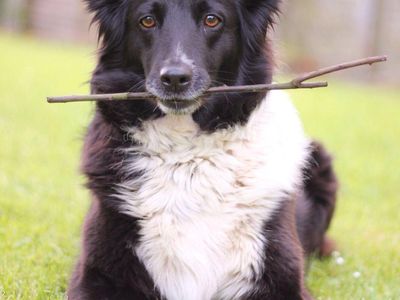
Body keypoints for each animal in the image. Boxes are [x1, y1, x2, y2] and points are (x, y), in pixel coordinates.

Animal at [68, 1, 338, 298]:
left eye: (212, 20)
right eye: (147, 21)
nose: (175, 78)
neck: (187, 157)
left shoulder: (283, 278)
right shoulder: (95, 274)